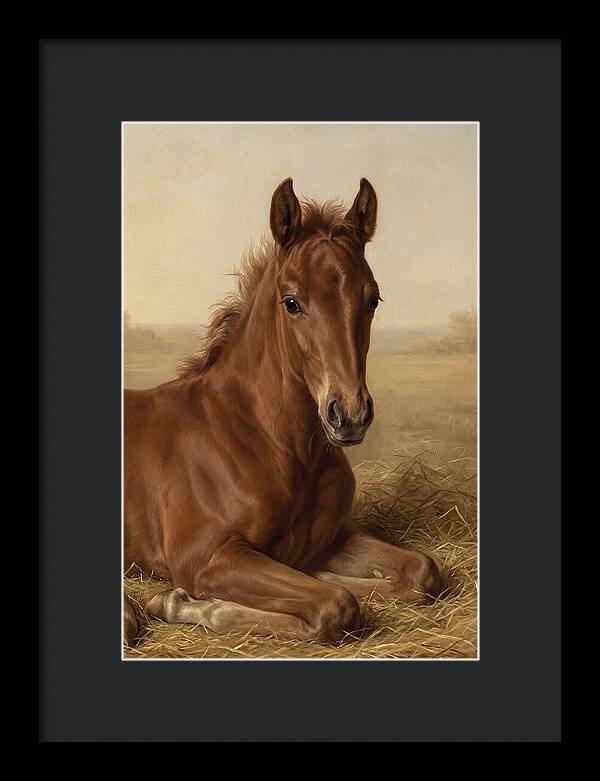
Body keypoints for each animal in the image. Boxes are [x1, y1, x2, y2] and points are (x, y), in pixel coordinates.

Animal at [123, 177, 441, 646]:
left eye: (373, 299)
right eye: (291, 302)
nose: (349, 415)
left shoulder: (327, 539)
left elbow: (421, 572)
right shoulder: (204, 558)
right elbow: (336, 604)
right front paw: (178, 602)